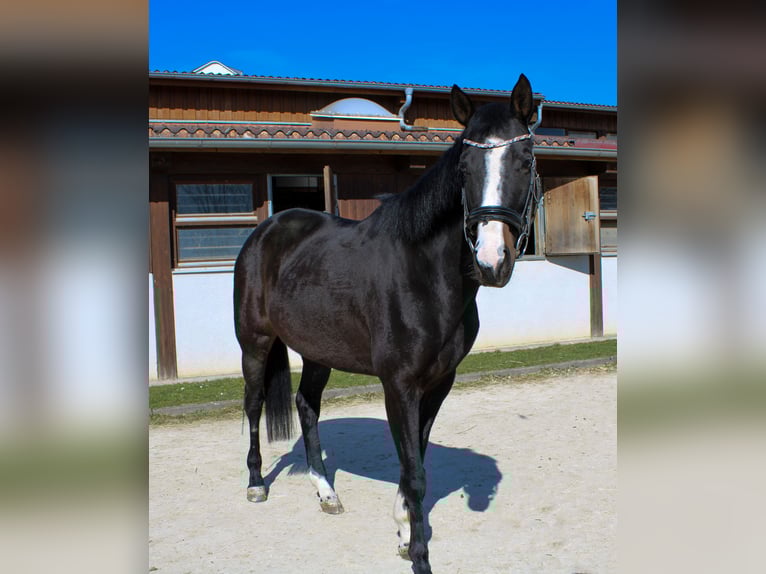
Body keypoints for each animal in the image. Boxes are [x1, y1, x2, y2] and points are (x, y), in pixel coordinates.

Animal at [233, 73, 541, 574]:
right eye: (463, 167)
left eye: (526, 159)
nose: (492, 261)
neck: (424, 273)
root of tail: (267, 230)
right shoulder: (398, 384)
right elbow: (414, 472)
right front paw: (419, 557)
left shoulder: (438, 383)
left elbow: (415, 460)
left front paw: (403, 530)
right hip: (255, 343)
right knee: (255, 404)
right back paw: (256, 483)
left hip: (318, 350)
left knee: (306, 406)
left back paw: (326, 492)